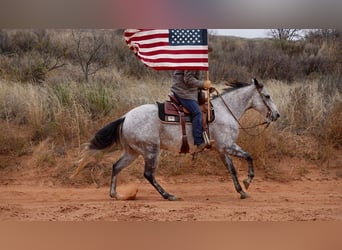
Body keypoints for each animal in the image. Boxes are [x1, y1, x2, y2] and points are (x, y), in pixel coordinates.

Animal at [71, 78, 280, 201]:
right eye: (267, 96)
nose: (277, 115)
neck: (225, 110)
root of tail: (126, 117)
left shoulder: (222, 149)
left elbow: (232, 170)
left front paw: (241, 191)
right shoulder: (228, 145)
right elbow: (249, 156)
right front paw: (248, 181)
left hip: (133, 152)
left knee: (116, 167)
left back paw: (116, 194)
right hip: (151, 151)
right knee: (148, 174)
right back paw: (168, 195)